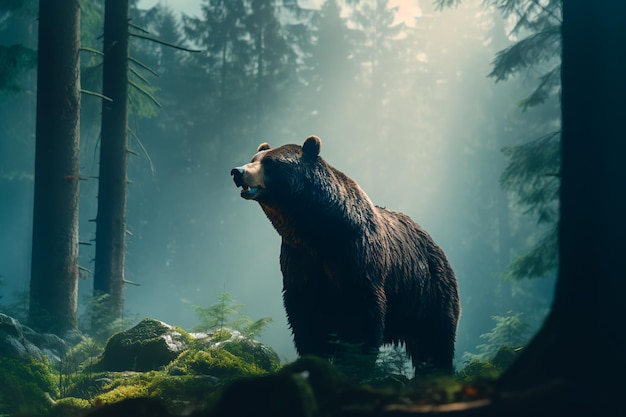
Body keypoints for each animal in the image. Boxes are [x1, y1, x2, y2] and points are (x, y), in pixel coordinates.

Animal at [229, 136, 458, 374]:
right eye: (253, 159)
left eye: (270, 162)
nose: (237, 171)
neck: (316, 232)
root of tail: (435, 244)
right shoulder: (298, 259)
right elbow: (305, 317)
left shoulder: (356, 256)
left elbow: (361, 316)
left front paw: (354, 362)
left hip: (426, 292)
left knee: (434, 339)